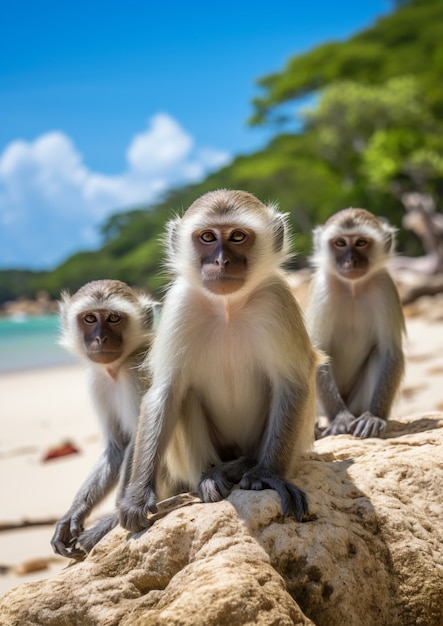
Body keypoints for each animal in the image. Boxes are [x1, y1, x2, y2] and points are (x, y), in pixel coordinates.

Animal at [51, 278, 160, 556]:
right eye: (90, 318)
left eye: (113, 318)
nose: (101, 338)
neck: (116, 369)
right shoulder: (97, 380)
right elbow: (117, 447)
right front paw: (73, 514)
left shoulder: (135, 373)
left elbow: (139, 437)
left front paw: (117, 517)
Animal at [118, 186, 320, 532]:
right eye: (208, 237)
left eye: (238, 236)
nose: (221, 260)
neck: (228, 306)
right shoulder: (180, 303)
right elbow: (166, 391)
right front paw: (138, 495)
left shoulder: (277, 300)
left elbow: (292, 383)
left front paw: (267, 475)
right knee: (185, 394)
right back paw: (211, 476)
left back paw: (246, 466)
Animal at [306, 207, 408, 436]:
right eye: (340, 243)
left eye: (361, 242)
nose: (351, 260)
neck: (352, 288)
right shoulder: (323, 288)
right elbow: (317, 351)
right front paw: (340, 419)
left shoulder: (385, 287)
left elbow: (390, 351)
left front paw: (374, 417)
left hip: (356, 403)